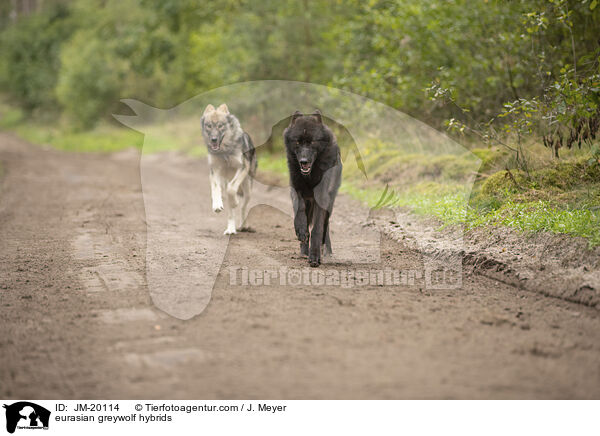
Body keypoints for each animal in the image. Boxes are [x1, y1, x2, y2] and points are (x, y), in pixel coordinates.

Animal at [282, 110, 340, 266]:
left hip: (330, 202)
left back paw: (325, 250)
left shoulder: (322, 197)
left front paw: (315, 256)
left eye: (312, 142)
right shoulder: (296, 189)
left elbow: (317, 229)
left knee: (325, 226)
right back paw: (303, 251)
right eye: (297, 142)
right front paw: (301, 231)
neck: (310, 175)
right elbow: (300, 212)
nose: (303, 161)